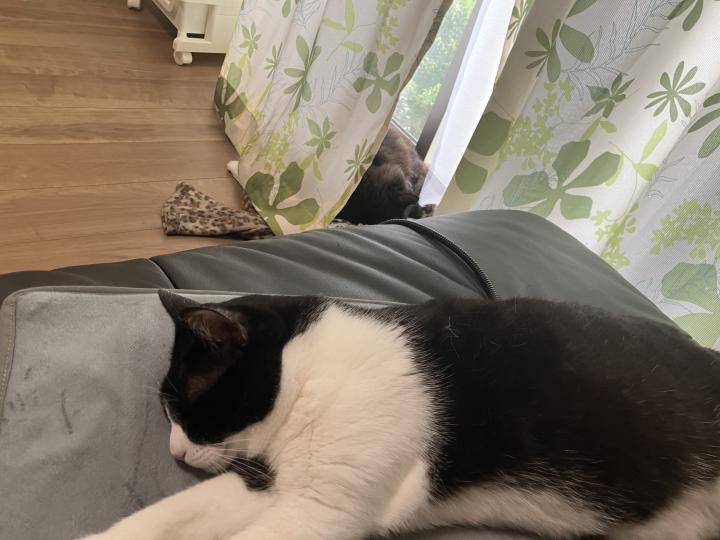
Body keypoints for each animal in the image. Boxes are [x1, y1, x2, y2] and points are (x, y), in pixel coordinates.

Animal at [82, 290, 720, 540]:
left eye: (186, 409)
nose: (175, 450)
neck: (313, 368)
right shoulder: (272, 482)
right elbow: (171, 515)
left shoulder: (325, 507)